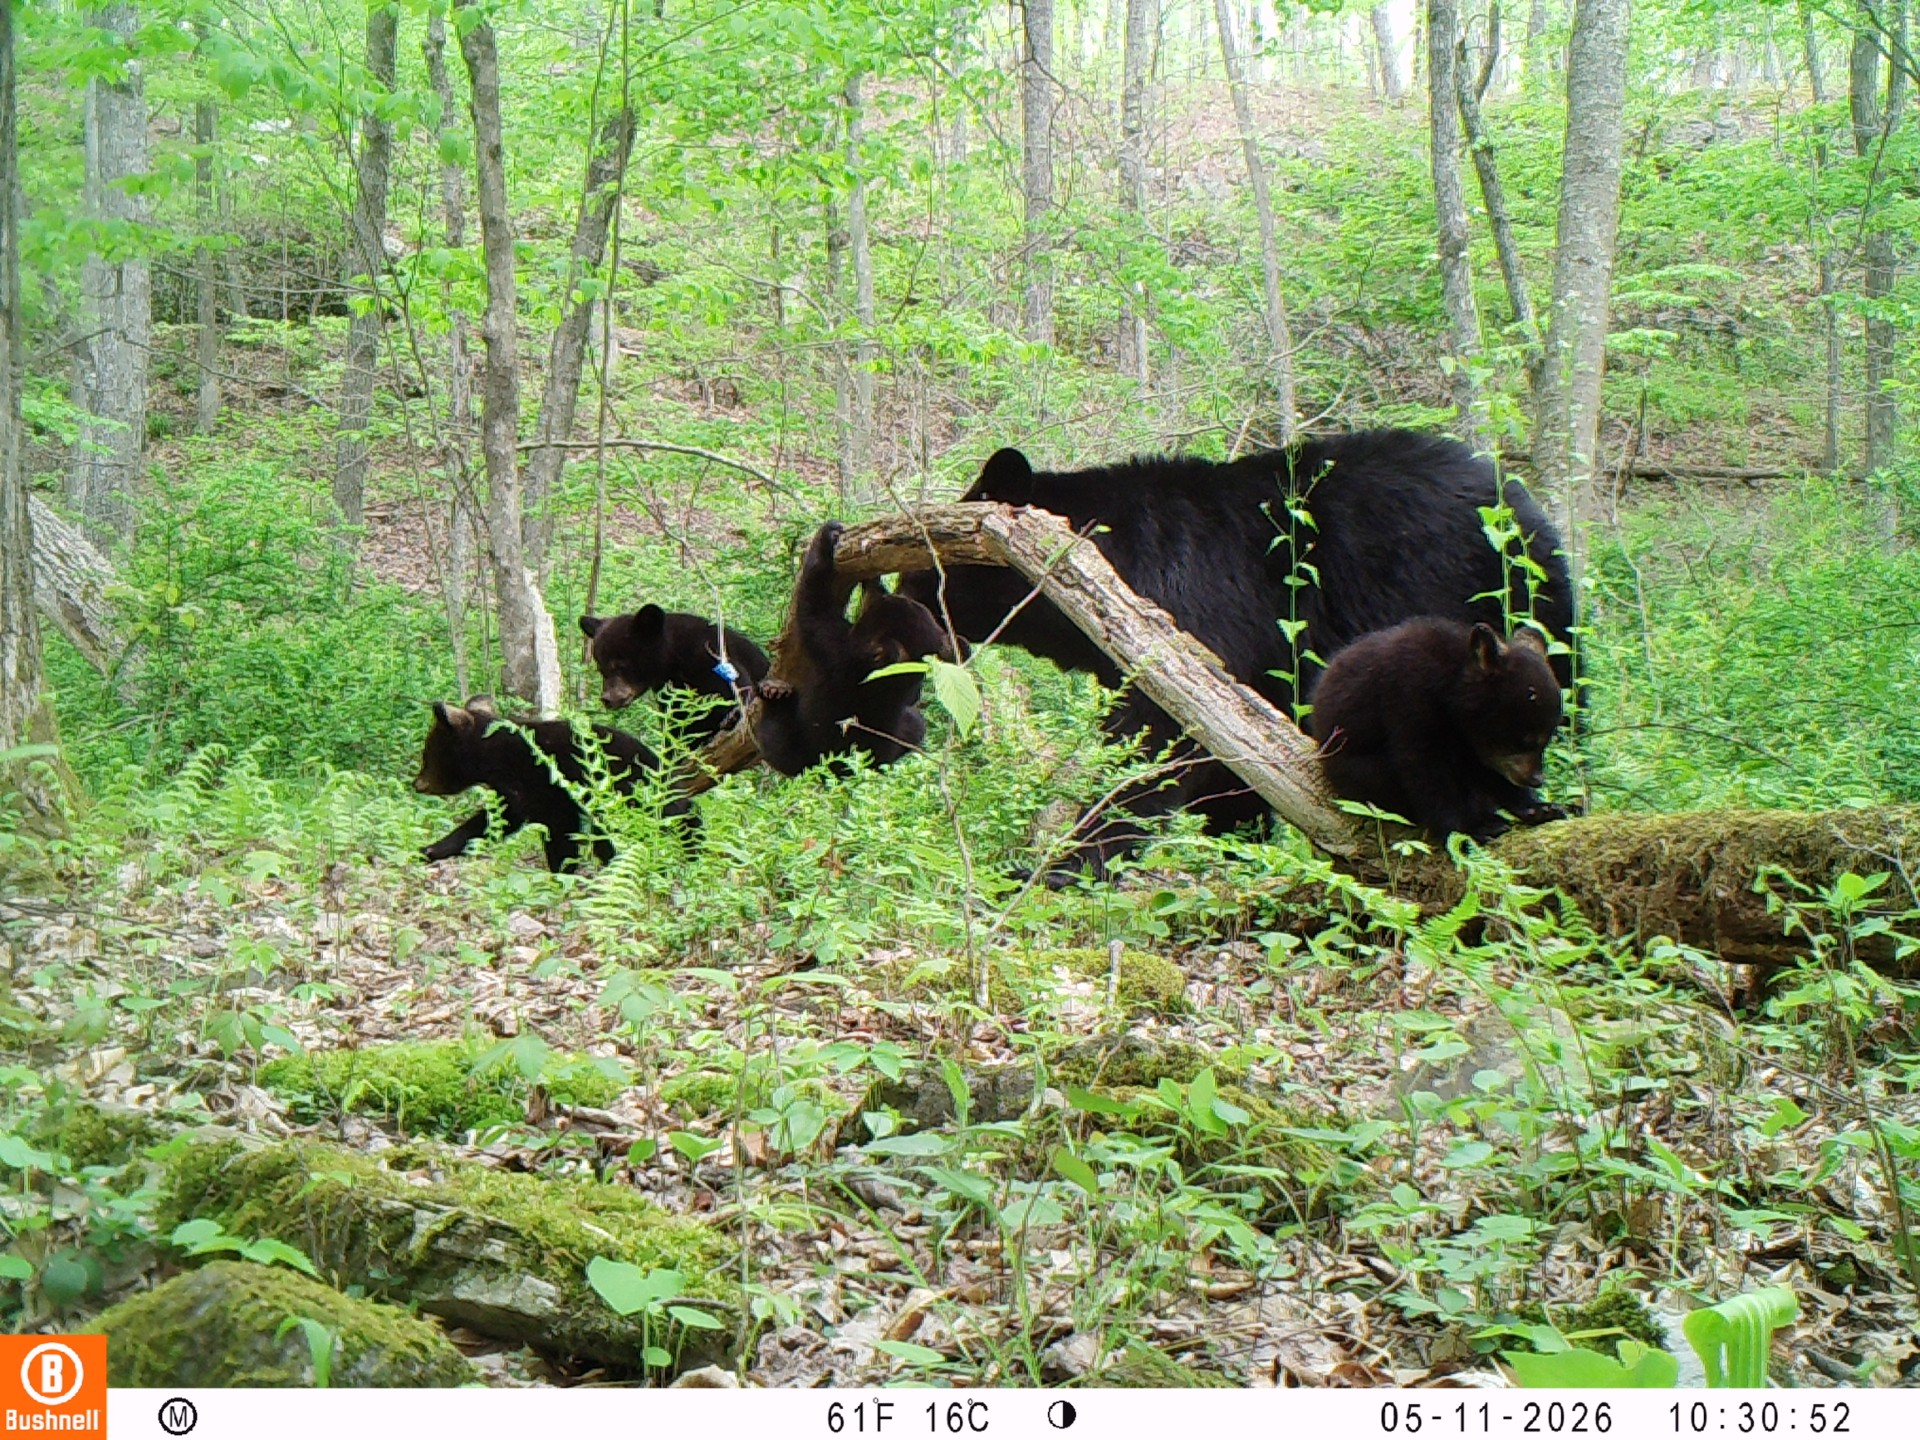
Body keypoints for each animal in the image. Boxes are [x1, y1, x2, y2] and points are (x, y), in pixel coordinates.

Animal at [411, 696, 693, 872]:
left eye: (426, 755)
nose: (417, 783)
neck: (500, 758)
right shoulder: (515, 793)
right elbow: (495, 820)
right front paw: (430, 848)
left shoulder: (549, 785)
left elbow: (559, 829)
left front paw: (561, 870)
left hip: (628, 793)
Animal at [577, 605, 771, 741]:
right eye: (601, 669)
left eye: (620, 665)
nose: (607, 698)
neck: (673, 658)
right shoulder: (671, 691)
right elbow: (676, 724)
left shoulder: (710, 654)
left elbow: (739, 685)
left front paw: (734, 715)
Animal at [753, 521, 959, 776]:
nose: (888, 593)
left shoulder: (835, 647)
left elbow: (813, 605)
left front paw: (827, 535)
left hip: (791, 749)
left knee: (774, 740)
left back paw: (773, 694)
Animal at [1308, 619, 1566, 843]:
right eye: (1527, 740)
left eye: (1547, 739)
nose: (1536, 780)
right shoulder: (1409, 694)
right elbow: (1424, 766)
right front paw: (1473, 828)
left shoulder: (1468, 738)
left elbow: (1484, 768)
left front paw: (1540, 808)